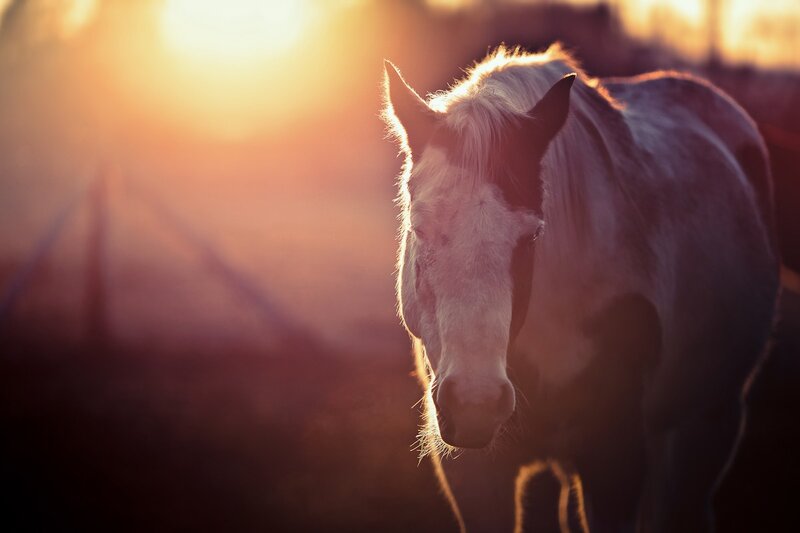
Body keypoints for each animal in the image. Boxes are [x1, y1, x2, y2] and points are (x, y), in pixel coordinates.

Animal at [382, 45, 779, 533]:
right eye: (419, 228)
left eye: (532, 235)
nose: (476, 403)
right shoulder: (475, 474)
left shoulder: (614, 462)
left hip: (706, 424)